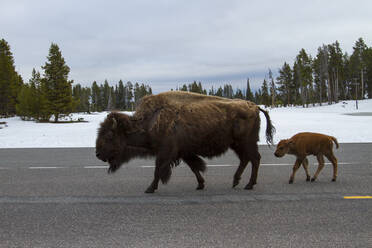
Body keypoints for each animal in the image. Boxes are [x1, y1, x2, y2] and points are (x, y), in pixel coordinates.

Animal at [95, 91, 276, 194]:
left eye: (110, 134)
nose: (97, 154)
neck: (150, 121)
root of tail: (255, 106)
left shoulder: (165, 153)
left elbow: (158, 170)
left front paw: (149, 189)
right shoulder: (184, 152)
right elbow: (194, 167)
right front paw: (200, 185)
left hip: (246, 142)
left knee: (254, 159)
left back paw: (249, 184)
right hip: (236, 144)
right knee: (246, 159)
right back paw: (236, 181)